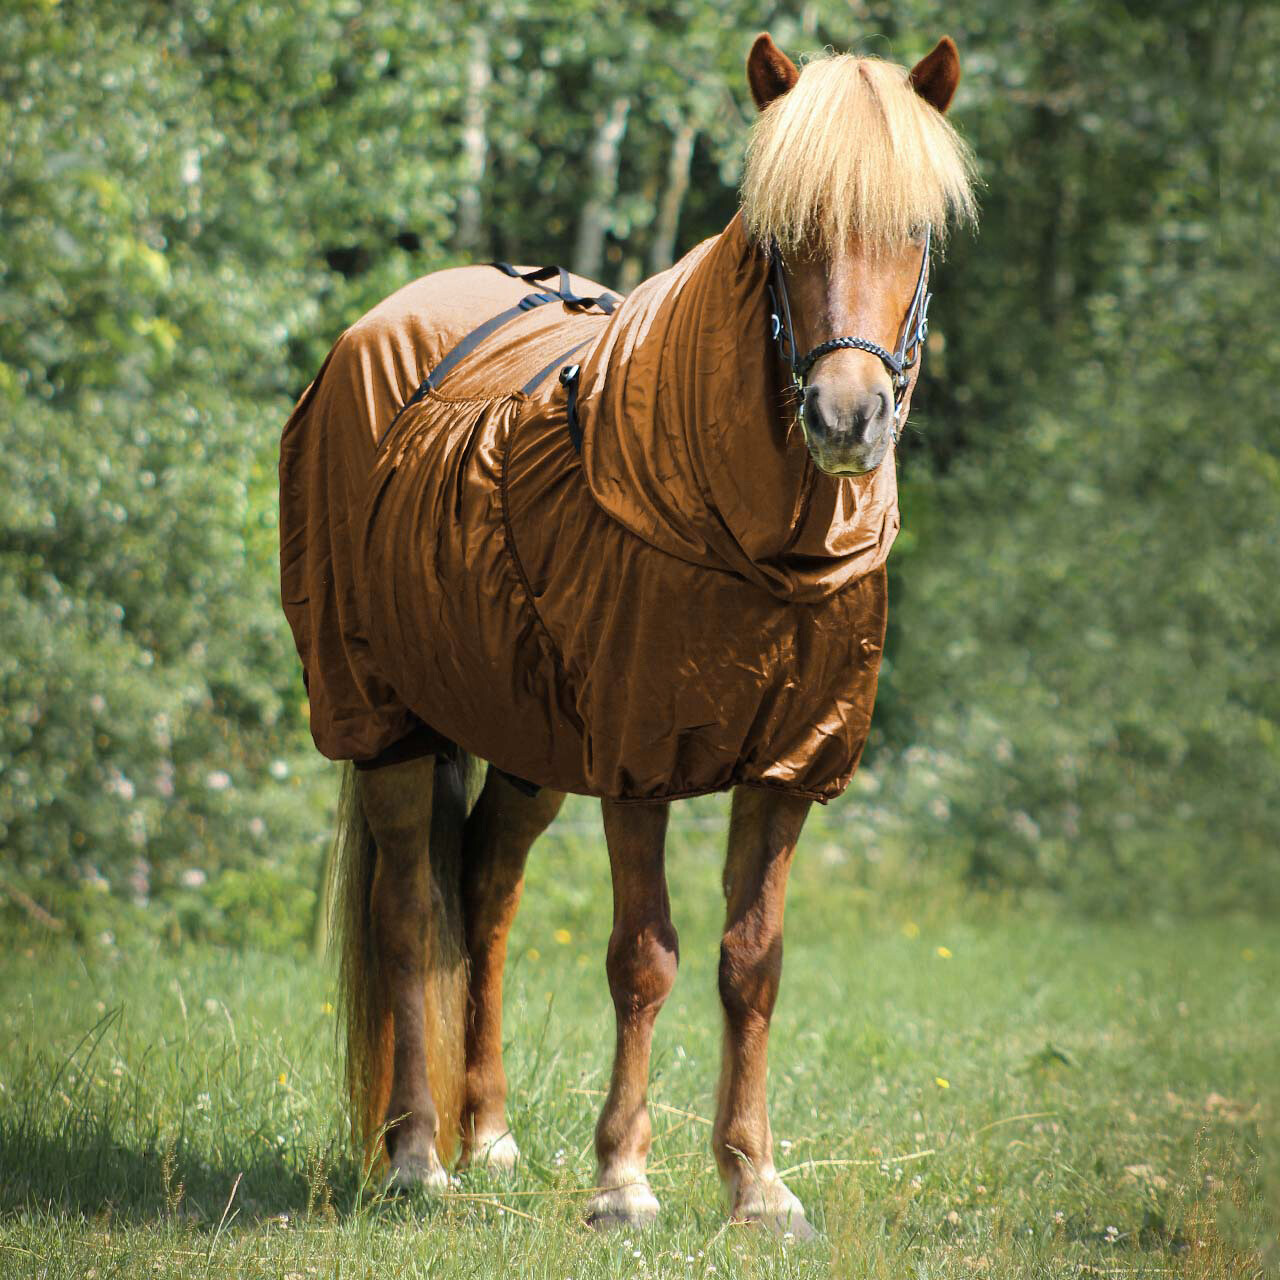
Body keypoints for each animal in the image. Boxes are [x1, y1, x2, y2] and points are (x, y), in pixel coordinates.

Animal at [279, 31, 976, 1236]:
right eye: (781, 236)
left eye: (915, 231)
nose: (846, 418)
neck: (759, 547)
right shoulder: (638, 757)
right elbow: (643, 957)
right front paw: (624, 1182)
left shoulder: (789, 763)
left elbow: (753, 962)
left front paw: (756, 1183)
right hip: (383, 716)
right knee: (409, 911)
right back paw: (417, 1153)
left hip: (524, 737)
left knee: (485, 896)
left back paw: (488, 1135)